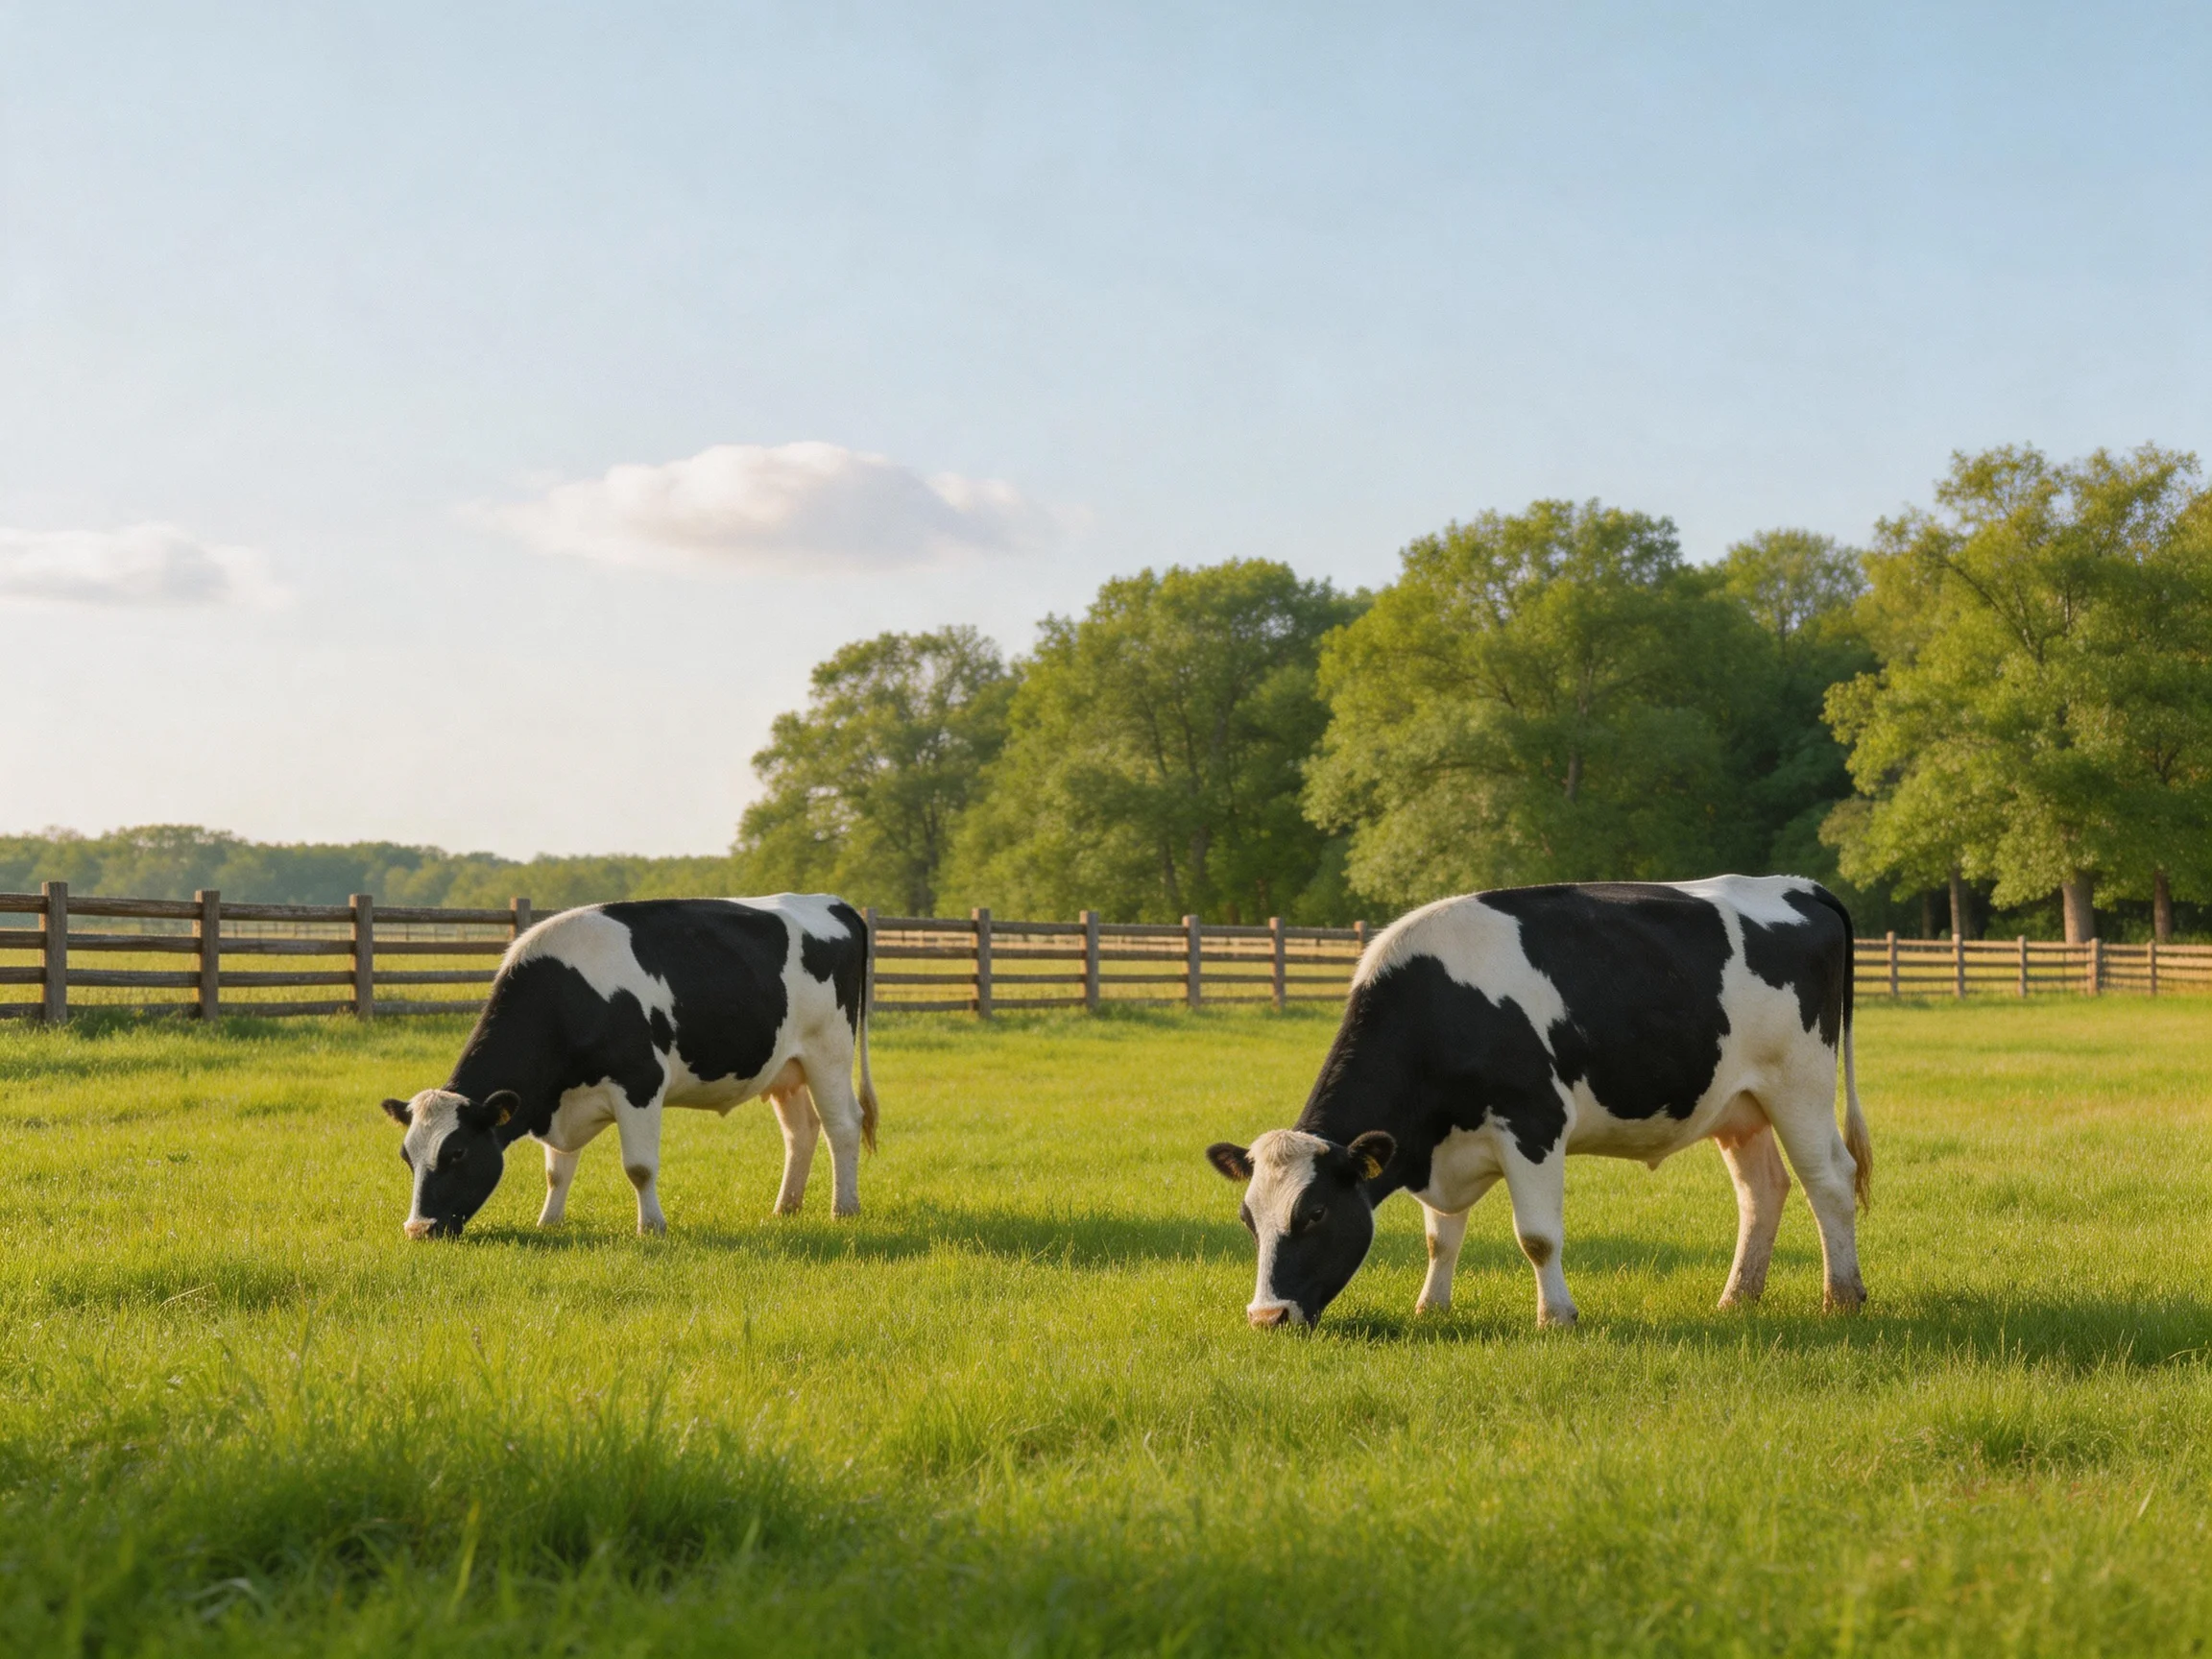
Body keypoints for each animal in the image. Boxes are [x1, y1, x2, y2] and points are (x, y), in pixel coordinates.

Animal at [380, 894, 878, 1239]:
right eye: (407, 1157)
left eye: (457, 1153)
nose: (418, 1230)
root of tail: (831, 902)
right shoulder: (559, 1099)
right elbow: (557, 1171)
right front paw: (548, 1221)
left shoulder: (640, 1085)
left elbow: (639, 1167)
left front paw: (651, 1227)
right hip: (786, 1069)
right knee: (801, 1130)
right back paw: (785, 1208)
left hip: (829, 1052)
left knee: (843, 1125)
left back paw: (845, 1208)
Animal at [1205, 876, 1871, 1329]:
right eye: (1247, 1219)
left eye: (1315, 1212)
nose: (1267, 1317)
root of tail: (1795, 885)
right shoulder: (1439, 1146)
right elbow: (1441, 1238)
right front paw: (1431, 1308)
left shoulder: (1533, 1124)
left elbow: (1538, 1237)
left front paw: (1556, 1317)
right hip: (1739, 1105)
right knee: (1763, 1188)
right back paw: (1736, 1298)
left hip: (1800, 1084)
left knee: (1830, 1180)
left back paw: (1842, 1297)